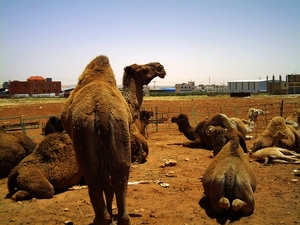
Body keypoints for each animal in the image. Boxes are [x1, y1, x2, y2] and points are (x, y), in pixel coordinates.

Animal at [60, 55, 132, 225]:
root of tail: (103, 109)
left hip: (82, 137)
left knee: (93, 177)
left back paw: (101, 219)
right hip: (122, 133)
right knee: (120, 175)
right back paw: (121, 219)